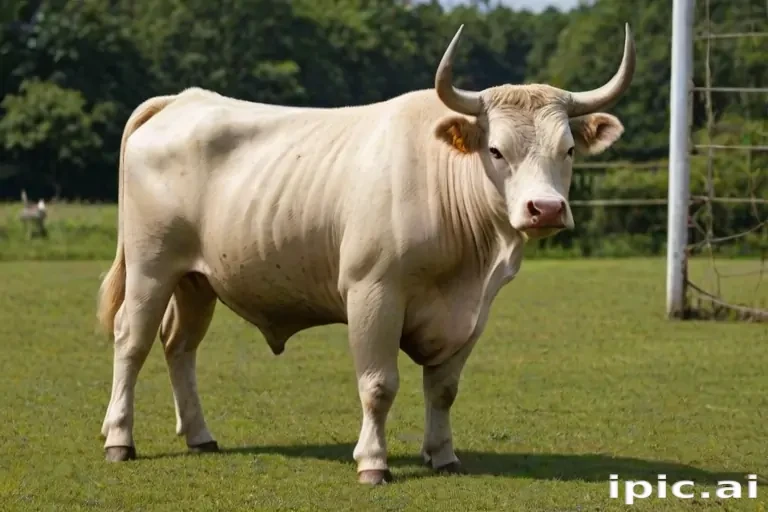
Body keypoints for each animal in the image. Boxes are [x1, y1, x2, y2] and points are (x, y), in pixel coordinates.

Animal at [96, 23, 635, 485]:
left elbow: (444, 388)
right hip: (150, 267)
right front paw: (373, 462)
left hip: (196, 280)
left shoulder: (473, 310)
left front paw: (443, 456)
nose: (545, 209)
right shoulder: (373, 292)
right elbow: (378, 385)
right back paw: (120, 439)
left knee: (179, 345)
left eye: (568, 149)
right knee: (132, 341)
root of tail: (182, 100)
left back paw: (200, 436)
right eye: (497, 150)